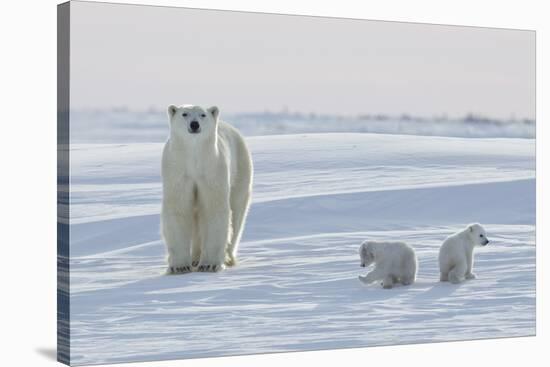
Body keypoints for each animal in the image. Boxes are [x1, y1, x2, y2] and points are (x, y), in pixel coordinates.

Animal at [161, 104, 253, 274]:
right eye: (184, 114)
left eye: (202, 115)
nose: (194, 124)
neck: (194, 158)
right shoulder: (178, 170)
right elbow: (178, 209)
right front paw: (180, 266)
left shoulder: (212, 169)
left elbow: (213, 209)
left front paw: (209, 264)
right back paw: (195, 259)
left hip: (241, 169)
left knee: (237, 213)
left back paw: (227, 257)